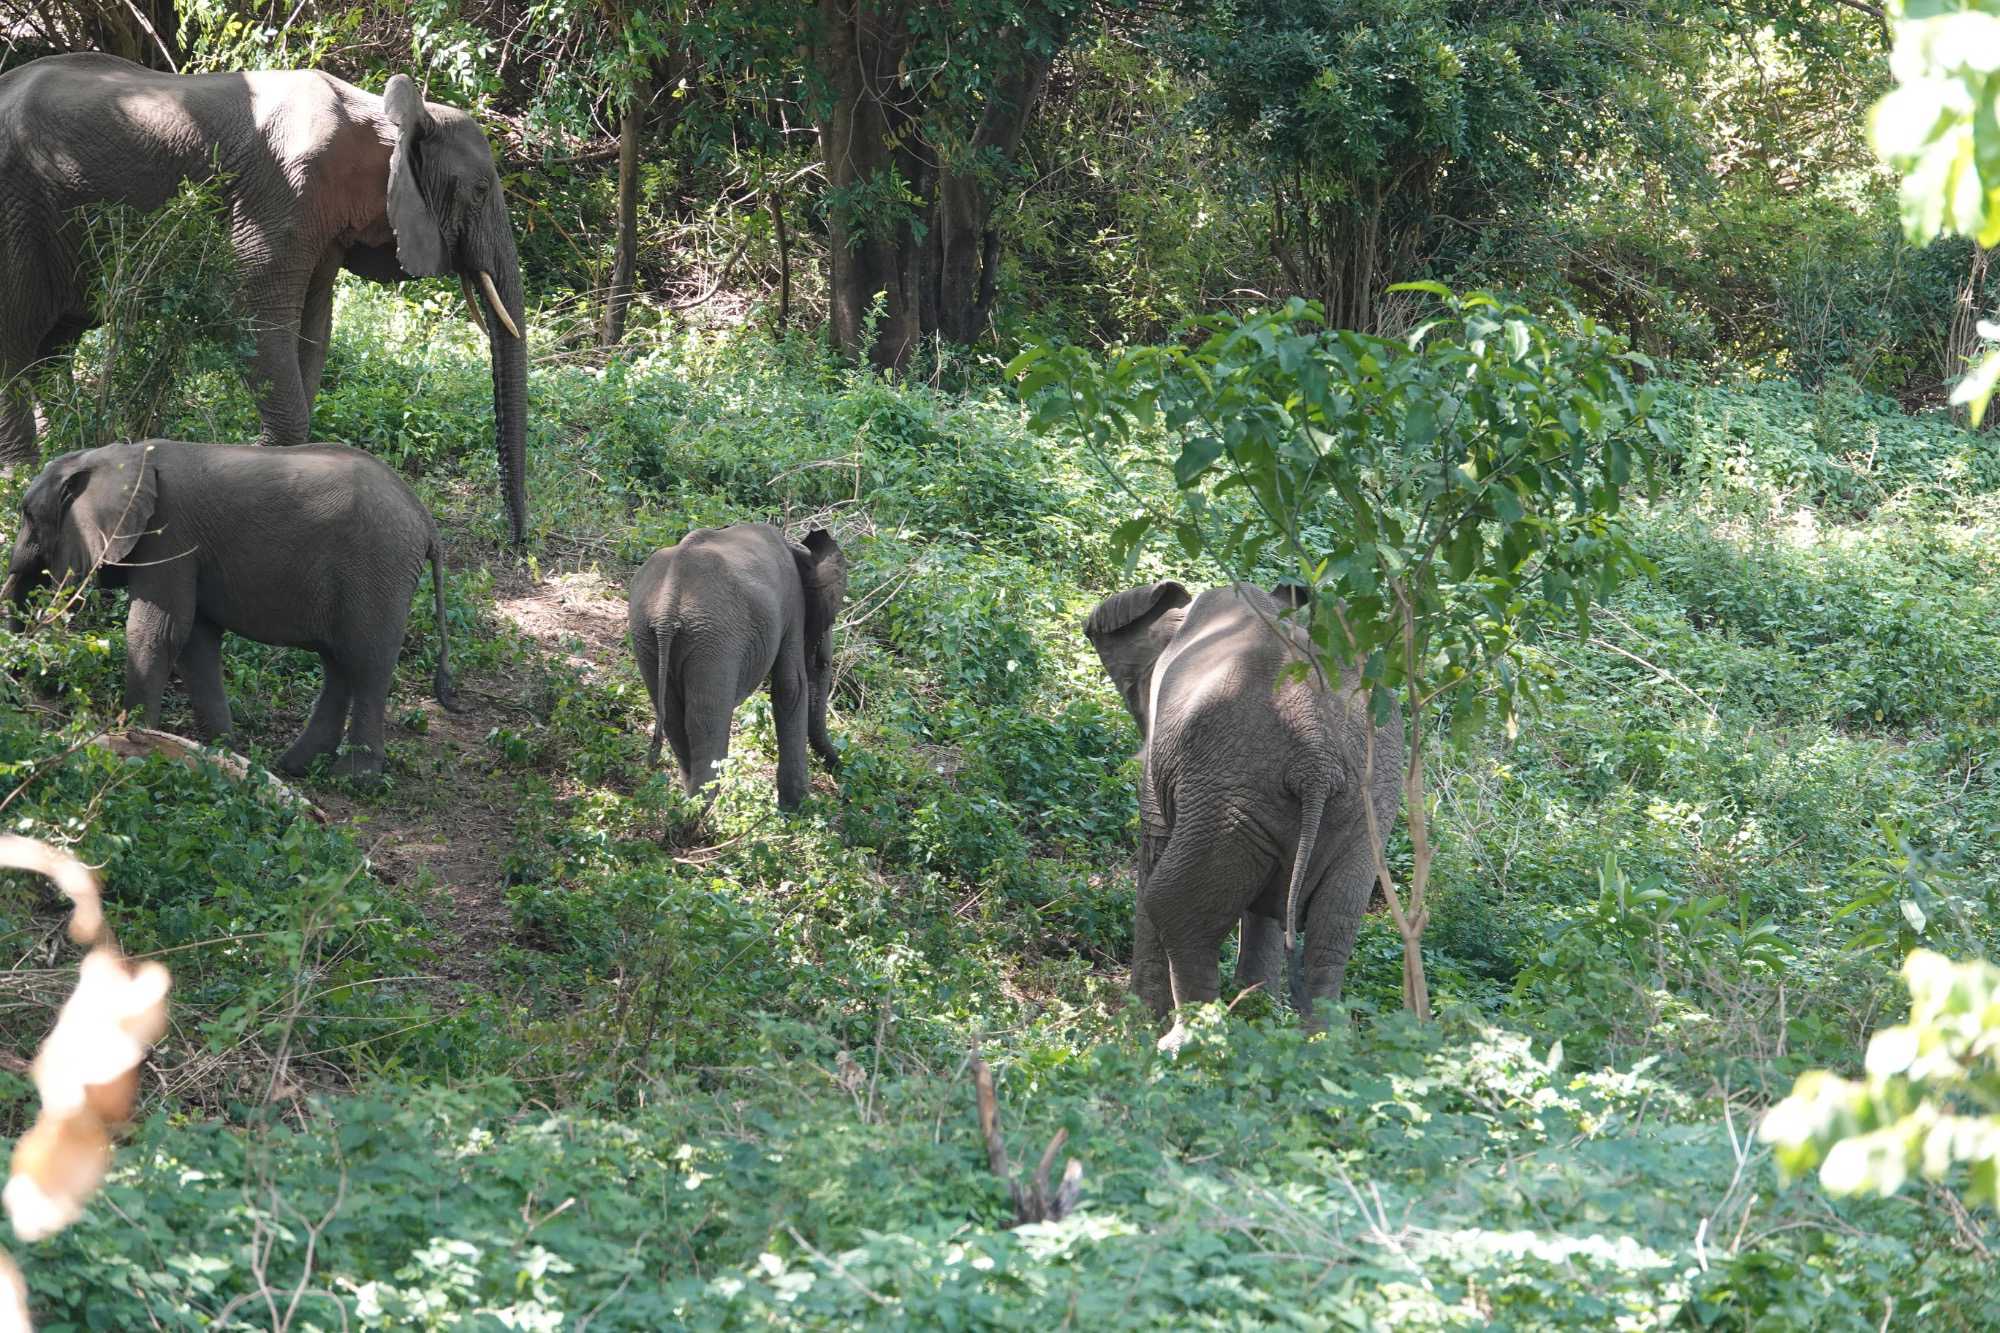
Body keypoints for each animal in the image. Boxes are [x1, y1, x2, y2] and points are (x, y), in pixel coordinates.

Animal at [0, 53, 530, 543]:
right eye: (480, 189)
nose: (516, 540)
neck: (384, 113)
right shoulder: (284, 191)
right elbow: (255, 307)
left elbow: (314, 324)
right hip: (17, 213)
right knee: (16, 338)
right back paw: (20, 475)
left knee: (54, 343)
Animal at [2, 439, 457, 779]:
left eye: (27, 514)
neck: (122, 455)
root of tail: (425, 519)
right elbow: (194, 641)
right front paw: (222, 753)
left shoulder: (169, 535)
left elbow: (159, 630)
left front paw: (130, 736)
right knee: (339, 662)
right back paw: (294, 767)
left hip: (378, 569)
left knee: (367, 663)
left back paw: (353, 778)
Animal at [628, 524, 847, 813]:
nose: (842, 771)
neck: (796, 548)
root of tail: (667, 608)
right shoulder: (792, 605)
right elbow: (790, 687)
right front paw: (797, 809)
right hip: (714, 642)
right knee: (706, 720)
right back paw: (701, 817)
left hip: (647, 638)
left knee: (675, 718)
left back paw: (686, 811)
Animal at [1084, 580, 1403, 1044]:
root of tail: (1317, 761)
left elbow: (1154, 841)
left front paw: (1135, 1029)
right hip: (1363, 806)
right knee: (1335, 924)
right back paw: (1319, 1043)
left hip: (1231, 794)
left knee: (1174, 904)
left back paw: (1182, 1045)